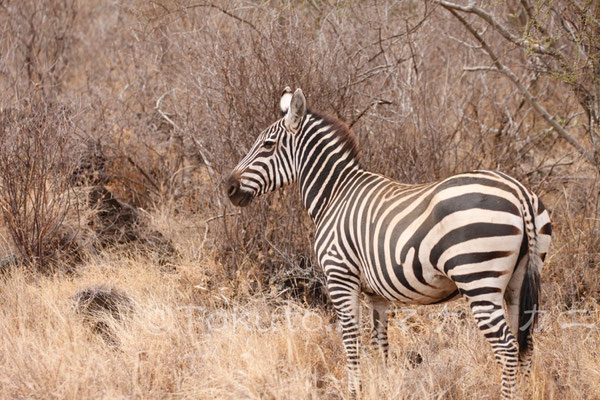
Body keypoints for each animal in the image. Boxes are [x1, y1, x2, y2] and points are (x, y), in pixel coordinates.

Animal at [226, 86, 552, 396]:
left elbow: (351, 339)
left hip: (478, 278)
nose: (228, 187)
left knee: (507, 348)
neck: (335, 195)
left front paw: (354, 391)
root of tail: (519, 193)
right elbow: (379, 343)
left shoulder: (340, 276)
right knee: (526, 344)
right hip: (518, 281)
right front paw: (382, 385)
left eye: (267, 145)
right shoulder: (376, 294)